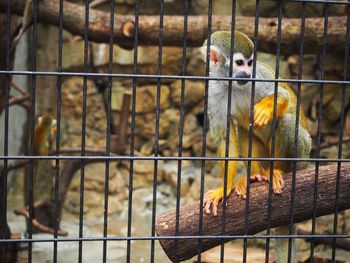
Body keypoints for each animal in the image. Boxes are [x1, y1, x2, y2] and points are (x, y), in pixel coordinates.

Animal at [200, 31, 312, 262]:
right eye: (239, 63)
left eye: (250, 63)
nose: (247, 73)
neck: (233, 85)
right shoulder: (214, 90)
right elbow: (225, 137)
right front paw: (224, 188)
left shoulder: (258, 77)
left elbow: (283, 96)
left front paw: (266, 108)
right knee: (244, 130)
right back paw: (255, 176)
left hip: (303, 154)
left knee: (286, 120)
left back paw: (276, 171)